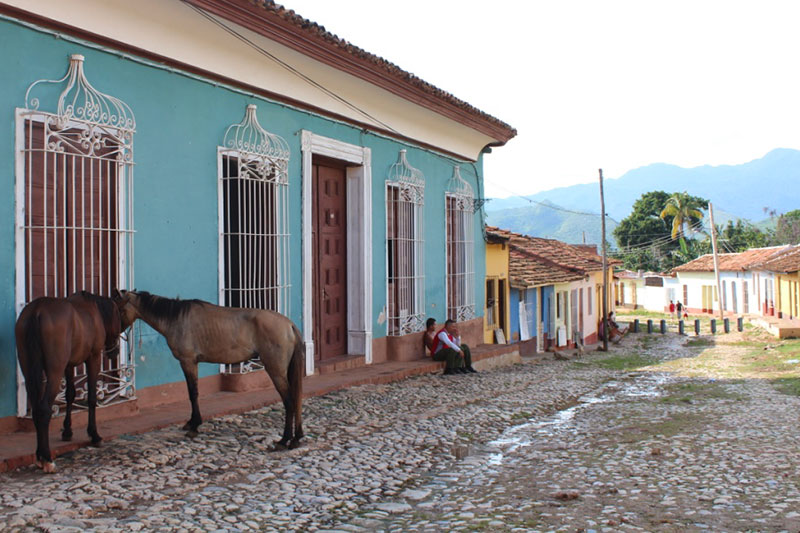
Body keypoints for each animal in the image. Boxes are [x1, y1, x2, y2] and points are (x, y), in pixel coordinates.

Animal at [14, 290, 126, 470]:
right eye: (119, 316)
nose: (114, 351)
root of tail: (37, 311)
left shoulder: (68, 365)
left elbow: (70, 395)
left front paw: (67, 431)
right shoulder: (93, 357)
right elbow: (92, 397)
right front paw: (94, 434)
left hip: (29, 370)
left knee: (37, 408)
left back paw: (39, 455)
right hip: (55, 370)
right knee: (44, 409)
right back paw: (47, 458)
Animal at [114, 288, 308, 446]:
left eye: (120, 309)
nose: (115, 335)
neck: (177, 318)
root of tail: (289, 325)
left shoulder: (188, 362)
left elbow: (193, 393)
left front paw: (194, 425)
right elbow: (193, 393)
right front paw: (192, 423)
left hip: (276, 371)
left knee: (289, 401)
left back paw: (284, 440)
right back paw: (296, 438)